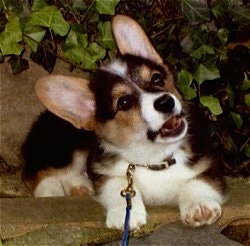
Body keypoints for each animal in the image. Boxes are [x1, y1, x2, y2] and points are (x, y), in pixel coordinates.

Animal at [22, 14, 228, 231]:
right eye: (124, 102)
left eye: (157, 78)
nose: (166, 102)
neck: (155, 159)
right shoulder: (107, 173)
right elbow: (119, 185)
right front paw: (124, 214)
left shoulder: (209, 163)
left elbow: (197, 181)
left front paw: (200, 206)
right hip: (69, 147)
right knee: (35, 172)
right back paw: (51, 190)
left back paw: (80, 185)